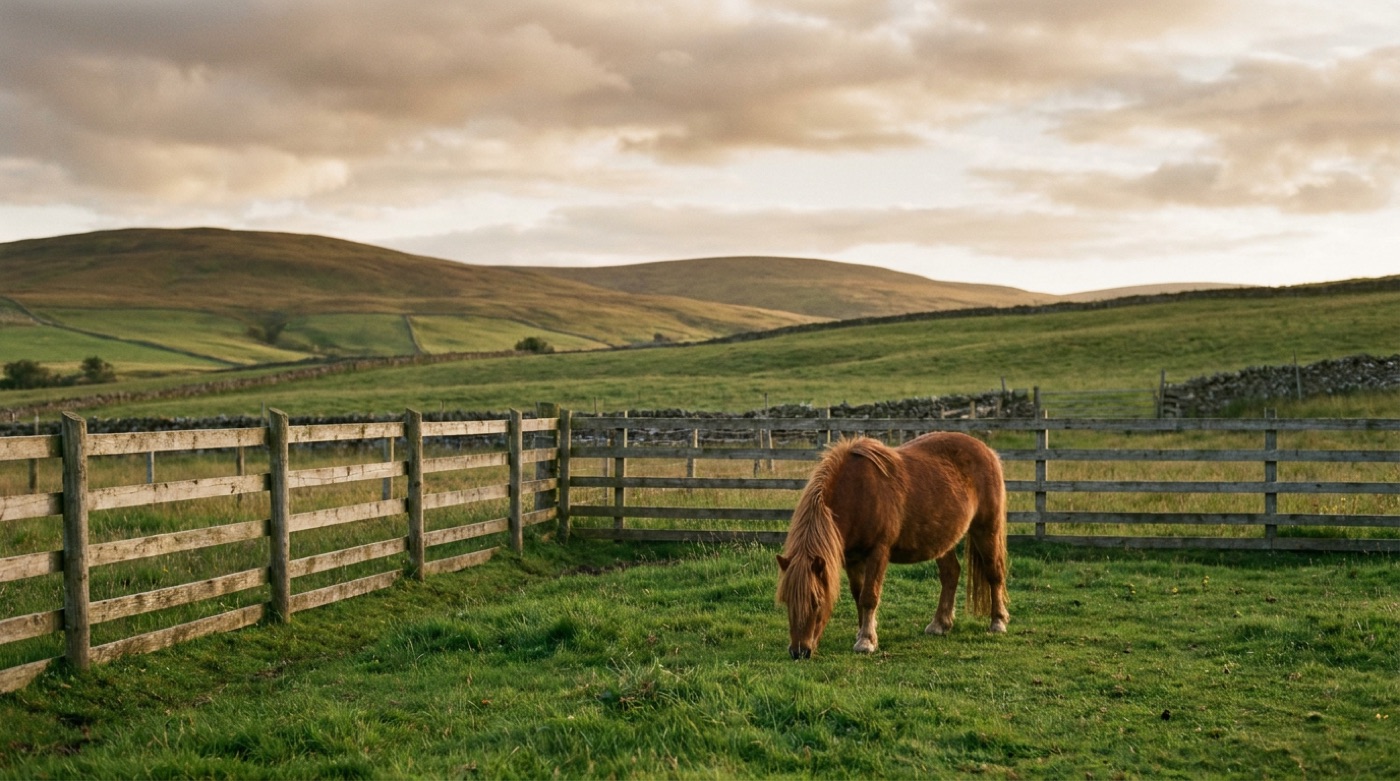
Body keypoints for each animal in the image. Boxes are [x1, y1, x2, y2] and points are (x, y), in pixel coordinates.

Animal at [775, 432, 1009, 659]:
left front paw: (866, 641)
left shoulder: (878, 552)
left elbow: (869, 596)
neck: (856, 492)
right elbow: (858, 594)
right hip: (943, 540)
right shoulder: (852, 558)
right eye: (786, 600)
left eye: (816, 601)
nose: (799, 651)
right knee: (951, 574)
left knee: (994, 572)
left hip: (986, 529)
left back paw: (998, 621)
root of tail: (987, 450)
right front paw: (862, 632)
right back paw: (939, 624)